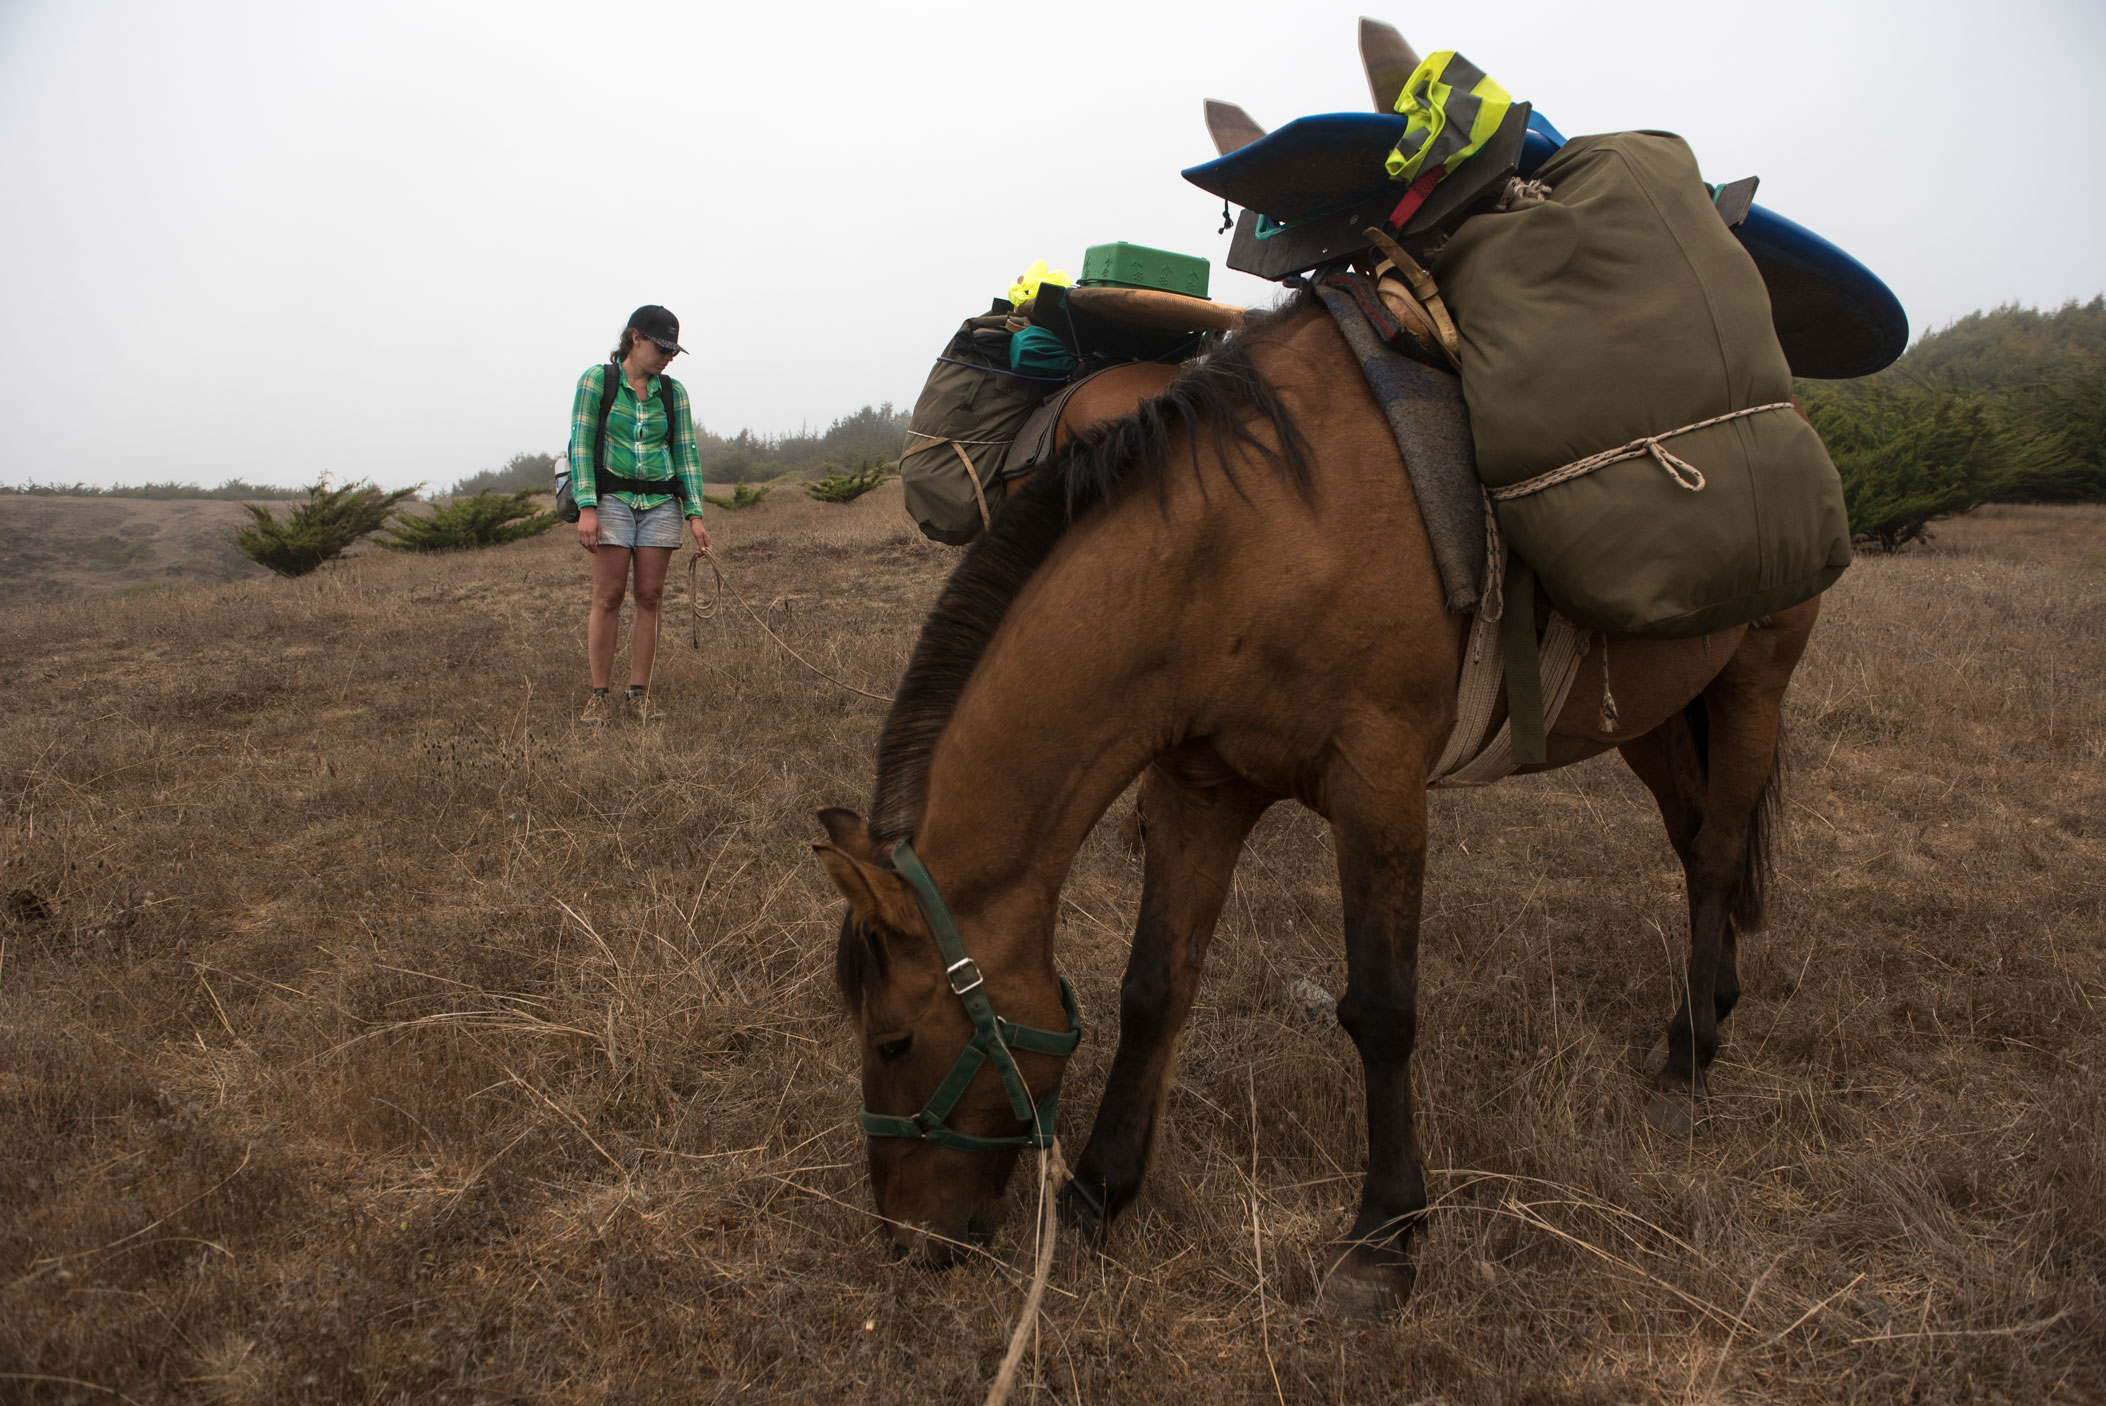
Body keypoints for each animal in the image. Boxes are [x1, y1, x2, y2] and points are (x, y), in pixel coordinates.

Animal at [812, 290, 1819, 1313]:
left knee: (1718, 855)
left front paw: (1383, 1236)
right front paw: (1099, 1193)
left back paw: (1689, 1057)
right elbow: (1153, 989)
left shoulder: (1380, 788)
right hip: (1661, 714)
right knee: (1697, 842)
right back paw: (1713, 1005)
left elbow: (1381, 1010)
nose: (908, 1241)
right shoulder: (1201, 791)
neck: (1241, 550)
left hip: (1752, 684)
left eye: (893, 1042)